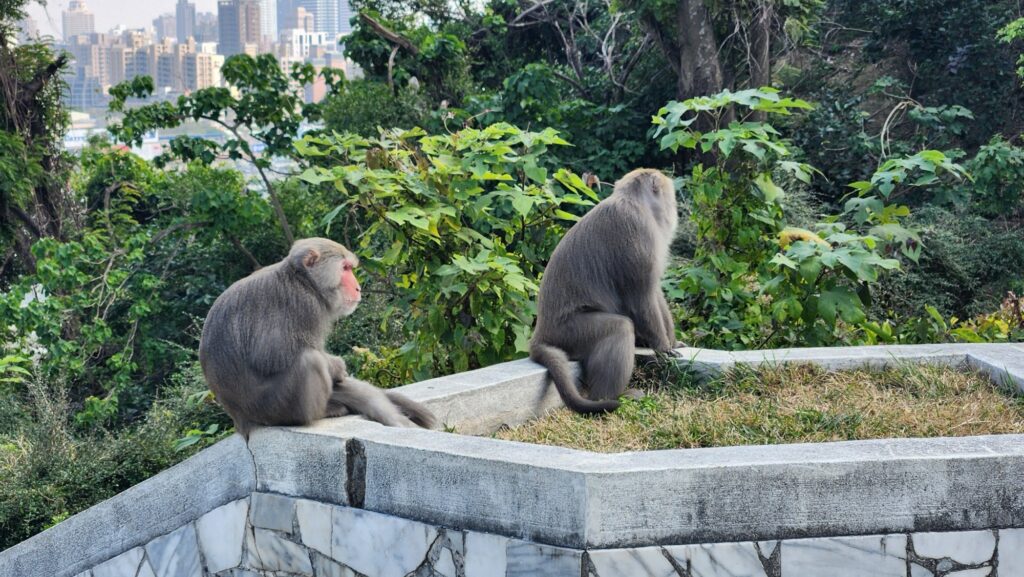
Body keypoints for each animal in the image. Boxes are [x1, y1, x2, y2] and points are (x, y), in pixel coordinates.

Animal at [199, 235, 436, 438]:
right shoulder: (303, 305)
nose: (358, 288)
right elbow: (271, 355)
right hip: (271, 407)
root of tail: (241, 421)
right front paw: (337, 367)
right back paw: (317, 413)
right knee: (309, 360)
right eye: (345, 268)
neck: (303, 281)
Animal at [528, 169, 679, 414]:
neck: (635, 201)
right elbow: (641, 298)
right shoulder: (638, 233)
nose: (672, 204)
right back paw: (608, 398)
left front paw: (673, 342)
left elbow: (654, 292)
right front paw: (663, 347)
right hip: (571, 334)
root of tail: (540, 334)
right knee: (620, 327)